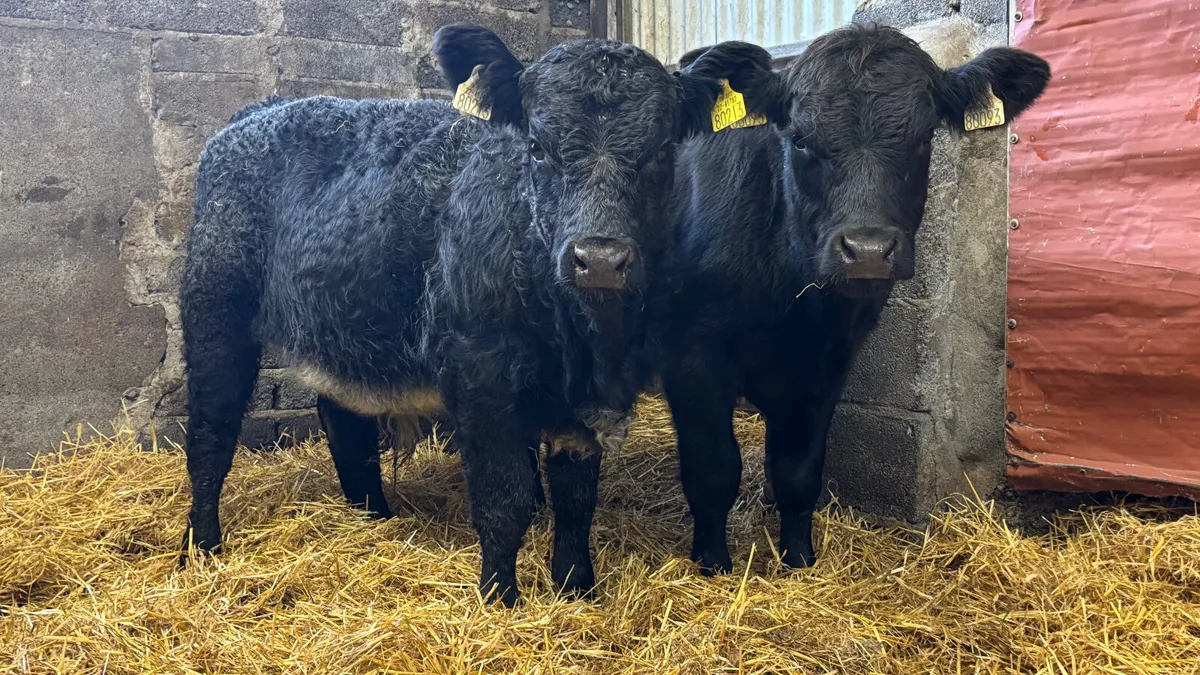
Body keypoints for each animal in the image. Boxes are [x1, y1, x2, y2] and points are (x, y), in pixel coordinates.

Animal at [177, 23, 778, 606]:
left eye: (661, 151)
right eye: (536, 147)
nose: (601, 259)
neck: (584, 340)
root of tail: (258, 112)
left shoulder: (586, 400)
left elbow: (575, 498)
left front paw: (578, 590)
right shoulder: (481, 371)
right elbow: (503, 496)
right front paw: (500, 598)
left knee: (344, 423)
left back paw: (374, 518)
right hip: (214, 310)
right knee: (210, 435)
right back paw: (201, 549)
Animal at [657, 24, 1051, 575]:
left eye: (924, 137)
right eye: (799, 139)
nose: (866, 250)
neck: (788, 303)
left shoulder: (830, 358)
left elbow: (799, 470)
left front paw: (799, 559)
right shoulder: (691, 351)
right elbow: (713, 467)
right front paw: (713, 564)